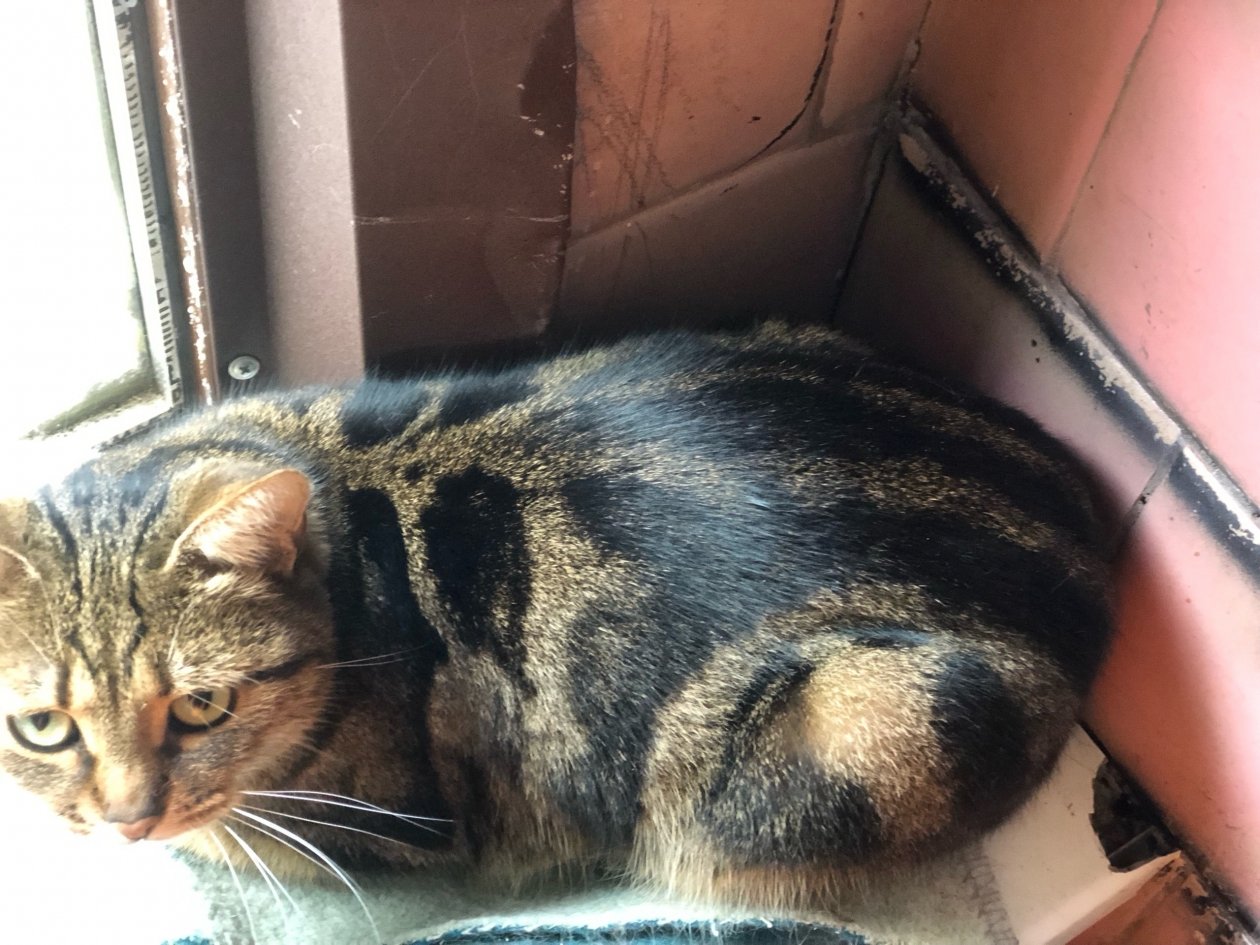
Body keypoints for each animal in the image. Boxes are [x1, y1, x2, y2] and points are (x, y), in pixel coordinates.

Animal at [0, 322, 1111, 911]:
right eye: (43, 725)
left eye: (201, 708)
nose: (126, 815)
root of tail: (1083, 522)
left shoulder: (389, 823)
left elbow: (226, 834)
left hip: (876, 719)